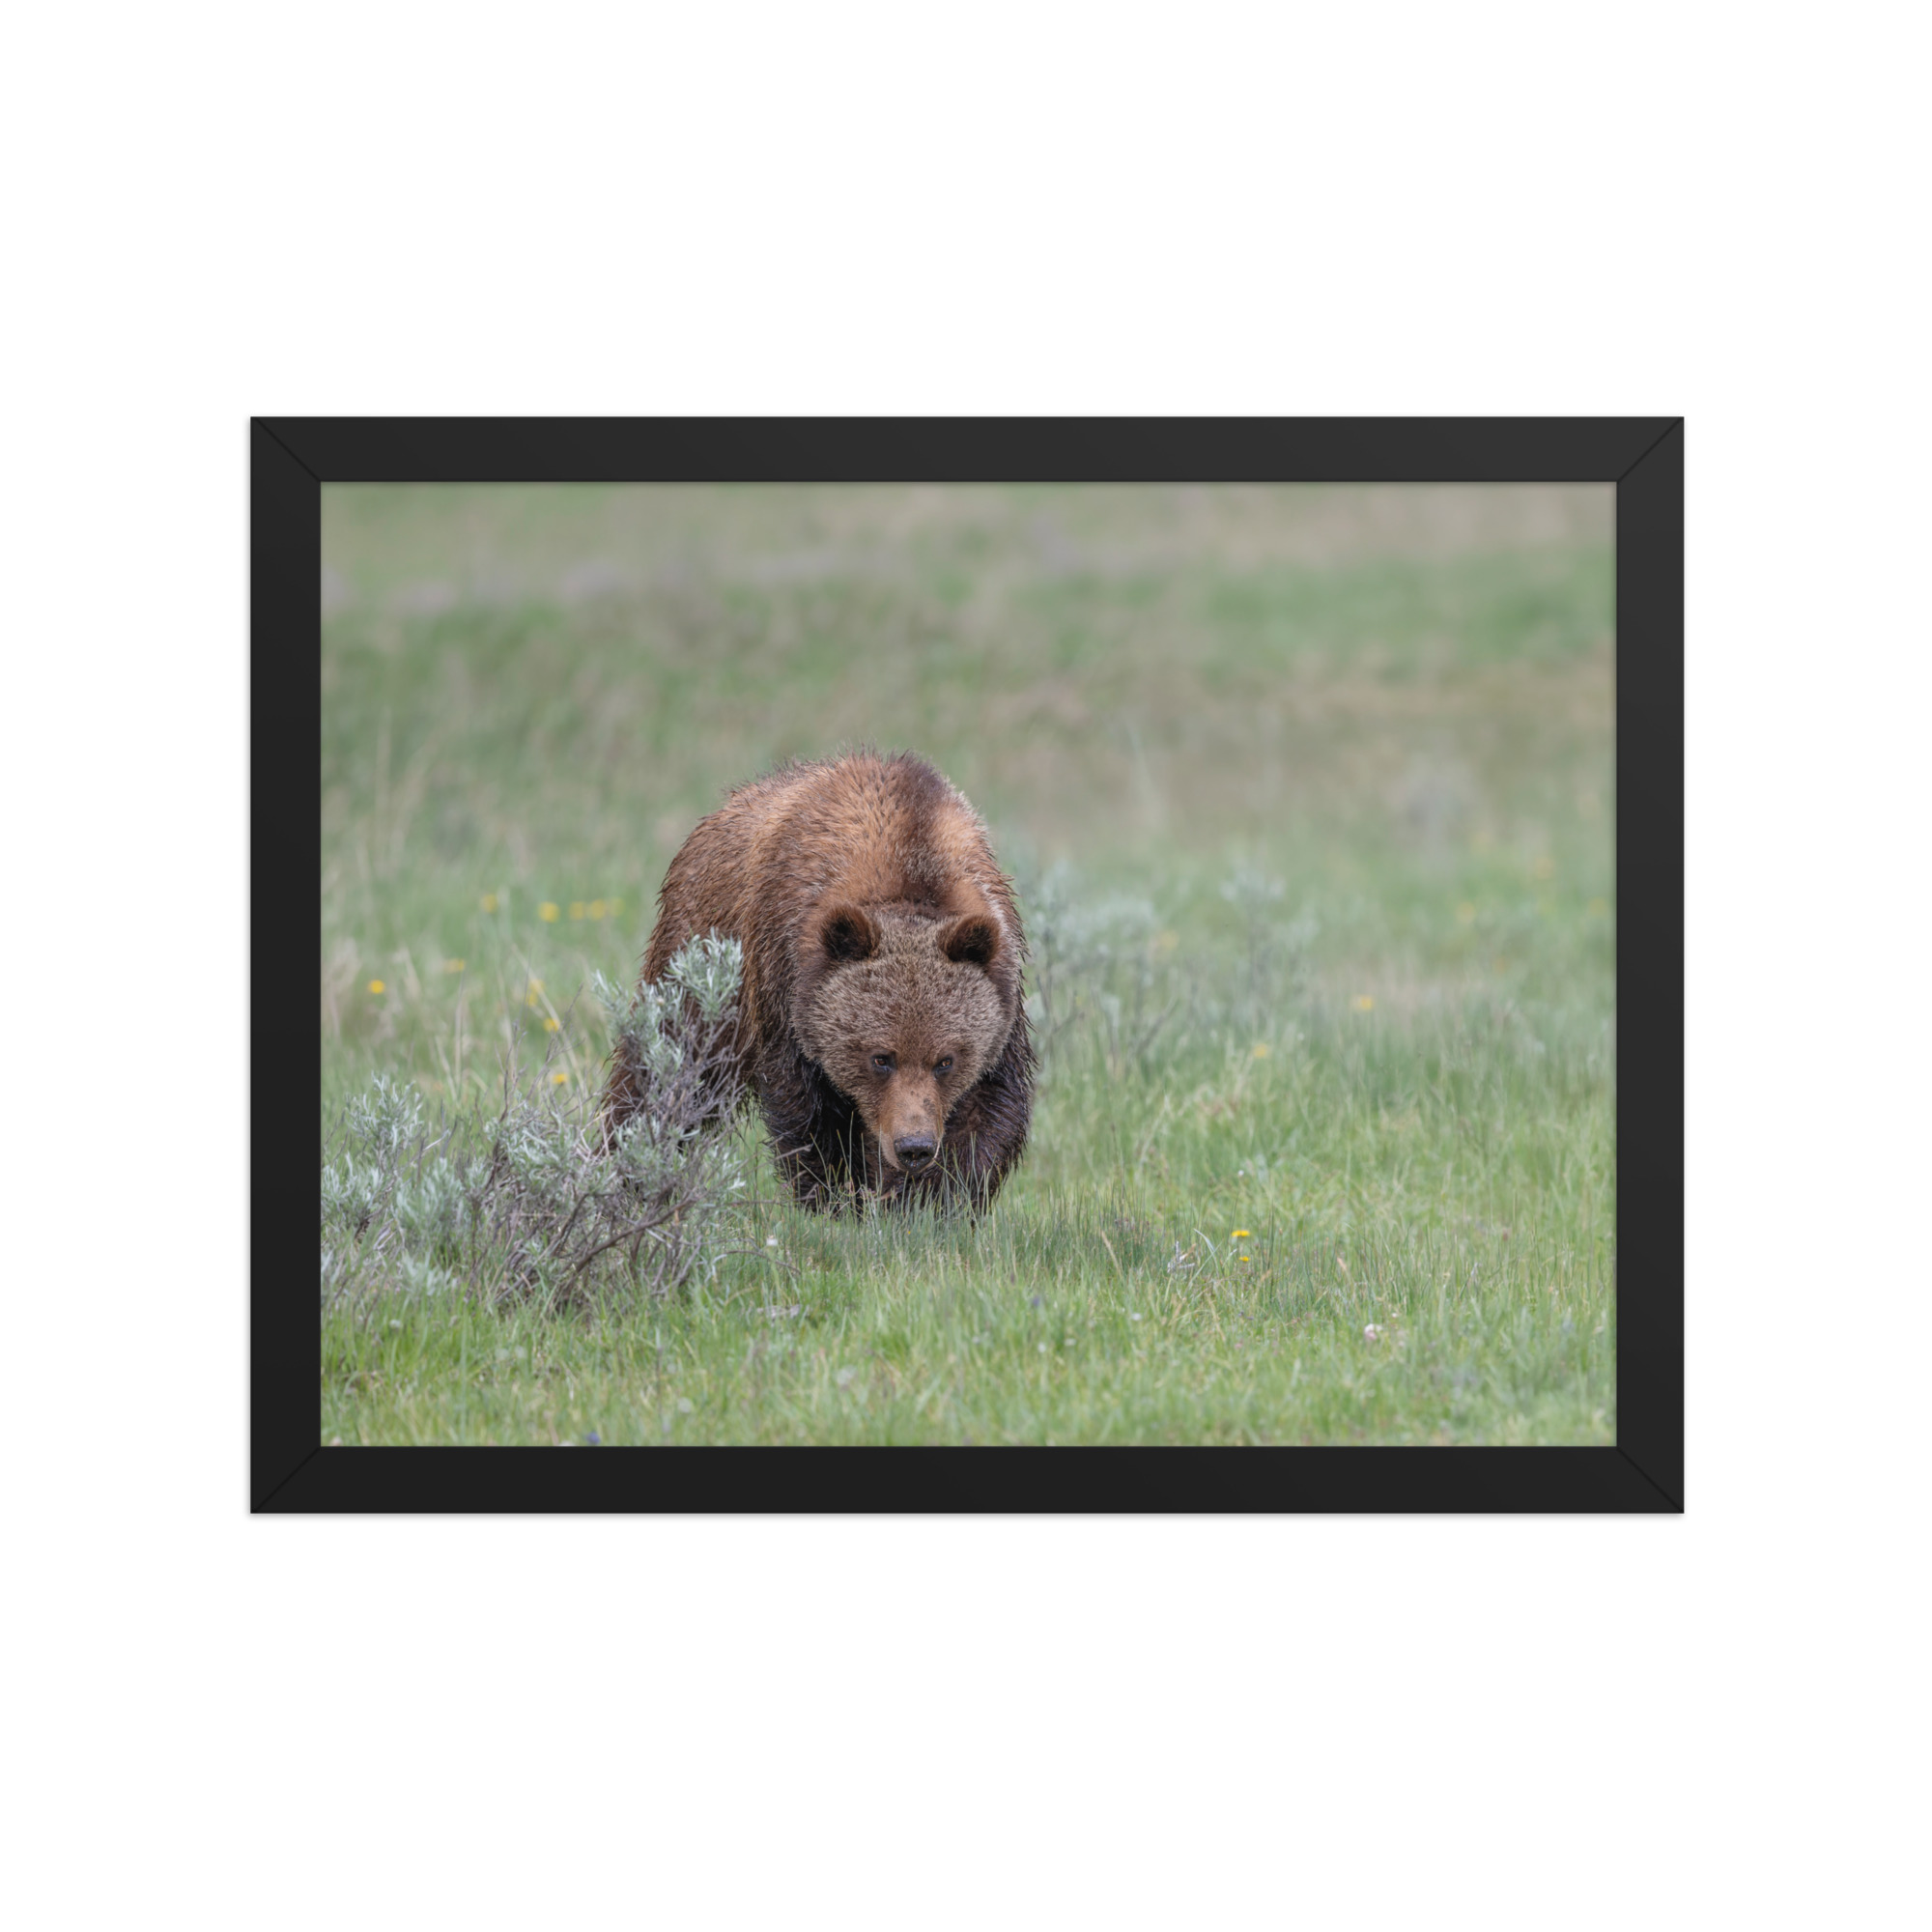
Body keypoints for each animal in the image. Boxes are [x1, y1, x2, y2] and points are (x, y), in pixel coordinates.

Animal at [602, 751, 1035, 1211]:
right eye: (880, 1057)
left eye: (946, 1060)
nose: (913, 1146)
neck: (911, 864)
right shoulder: (785, 982)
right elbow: (809, 1114)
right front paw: (836, 1198)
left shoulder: (1001, 994)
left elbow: (988, 1111)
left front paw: (929, 1201)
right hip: (701, 959)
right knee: (668, 1066)